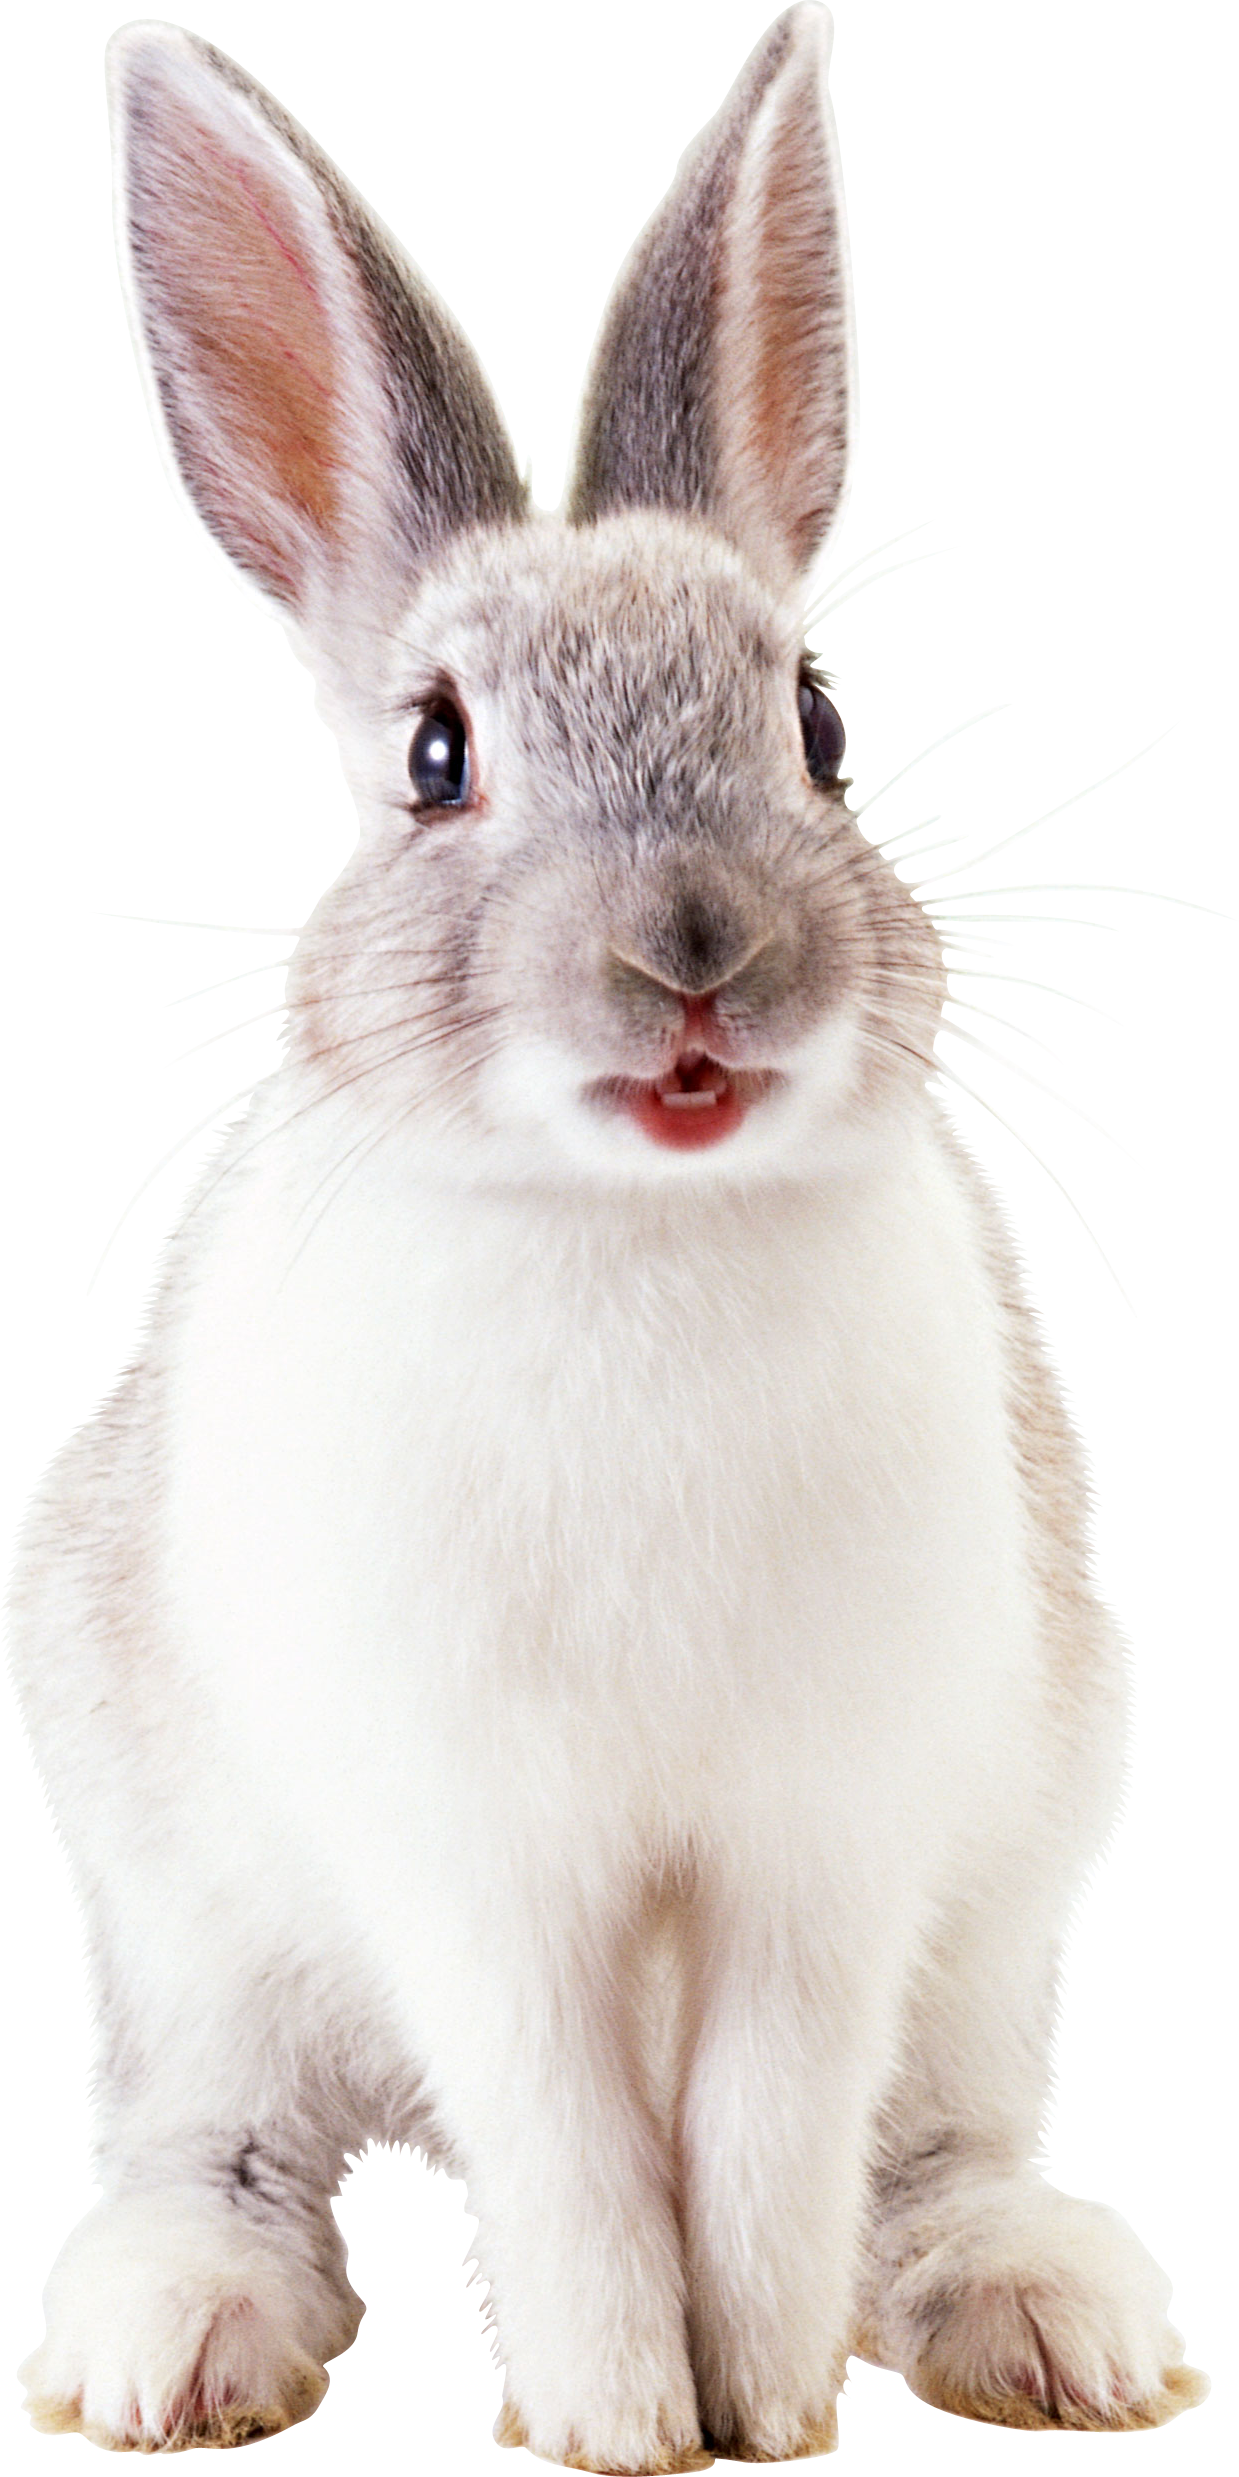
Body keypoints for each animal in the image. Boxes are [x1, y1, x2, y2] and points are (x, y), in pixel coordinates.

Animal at [13, 8, 1200, 2468]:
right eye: (433, 755)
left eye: (818, 726)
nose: (693, 956)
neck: (636, 1228)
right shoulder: (482, 1871)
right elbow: (570, 2151)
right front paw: (612, 2412)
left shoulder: (824, 1857)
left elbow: (760, 2144)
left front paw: (763, 2402)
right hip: (194, 1935)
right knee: (220, 2141)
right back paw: (168, 2338)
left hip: (995, 1925)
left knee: (937, 2142)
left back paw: (1052, 2317)